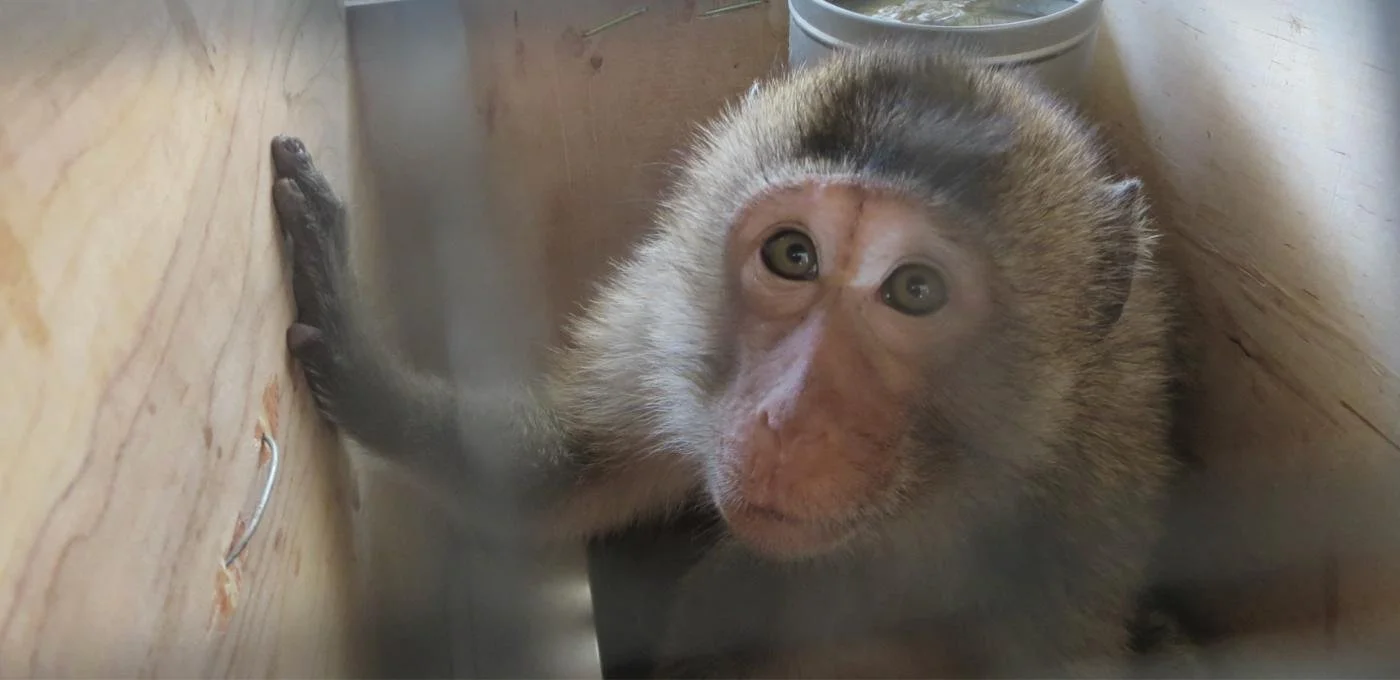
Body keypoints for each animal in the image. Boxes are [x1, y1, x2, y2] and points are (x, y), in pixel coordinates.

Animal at [268, 42, 1184, 677]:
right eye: (793, 254)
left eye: (916, 290)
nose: (787, 418)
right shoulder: (661, 325)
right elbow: (555, 475)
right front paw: (356, 352)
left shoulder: (1080, 513)